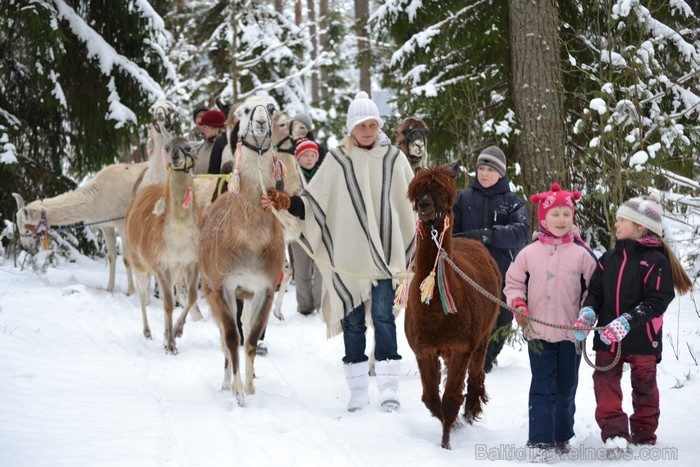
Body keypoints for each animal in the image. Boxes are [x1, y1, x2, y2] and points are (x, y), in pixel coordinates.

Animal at [125, 136, 202, 354]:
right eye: (167, 147)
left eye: (188, 147)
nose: (175, 156)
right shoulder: (160, 262)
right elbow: (167, 303)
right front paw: (170, 345)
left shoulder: (191, 259)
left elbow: (191, 297)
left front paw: (176, 332)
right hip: (138, 260)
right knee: (143, 296)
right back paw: (148, 332)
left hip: (175, 267)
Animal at [197, 95, 284, 406]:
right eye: (245, 110)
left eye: (271, 107)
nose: (259, 122)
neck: (249, 240)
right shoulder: (223, 285)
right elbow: (232, 338)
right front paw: (237, 392)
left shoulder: (264, 287)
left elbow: (252, 339)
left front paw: (249, 386)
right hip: (211, 287)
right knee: (226, 337)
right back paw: (225, 381)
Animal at [402, 165, 500, 450]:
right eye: (418, 193)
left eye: (444, 194)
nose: (425, 206)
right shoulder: (424, 349)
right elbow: (431, 398)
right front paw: (450, 427)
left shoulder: (461, 346)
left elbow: (450, 398)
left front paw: (447, 443)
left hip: (481, 337)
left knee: (476, 377)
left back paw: (470, 411)